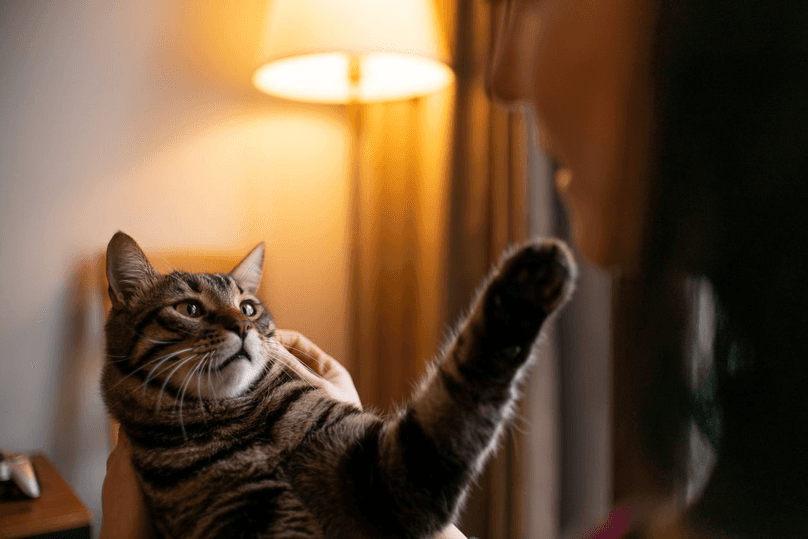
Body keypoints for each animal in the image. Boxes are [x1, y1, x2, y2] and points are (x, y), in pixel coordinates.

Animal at [102, 230, 576, 536]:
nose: (242, 327)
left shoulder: (384, 472)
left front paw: (526, 288)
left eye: (249, 307)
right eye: (190, 309)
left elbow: (456, 395)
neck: (240, 419)